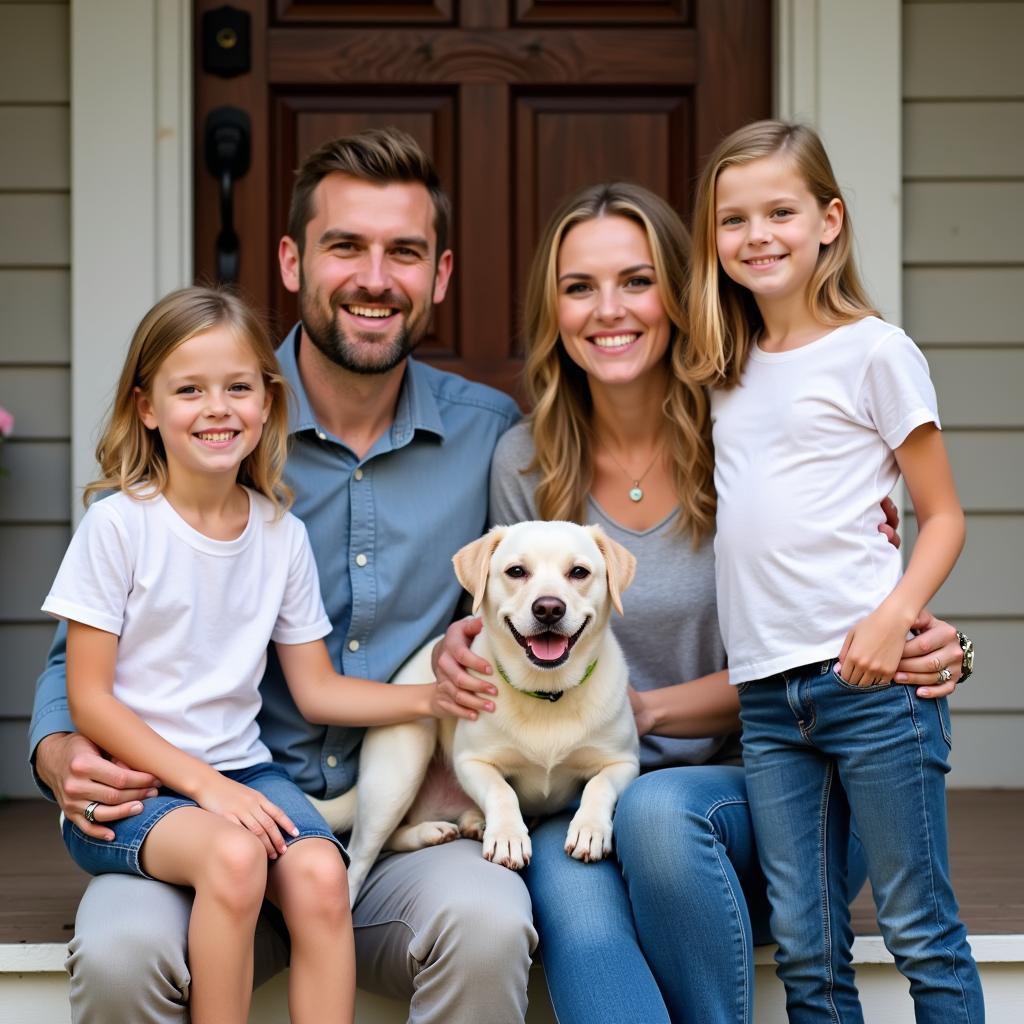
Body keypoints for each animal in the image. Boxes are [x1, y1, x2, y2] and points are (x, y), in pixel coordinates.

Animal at [309, 524, 638, 901]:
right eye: (516, 571)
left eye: (579, 572)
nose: (548, 608)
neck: (546, 693)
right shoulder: (471, 762)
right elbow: (501, 791)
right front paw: (508, 836)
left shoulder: (624, 762)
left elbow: (598, 785)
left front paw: (589, 828)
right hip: (396, 778)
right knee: (360, 858)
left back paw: (450, 827)